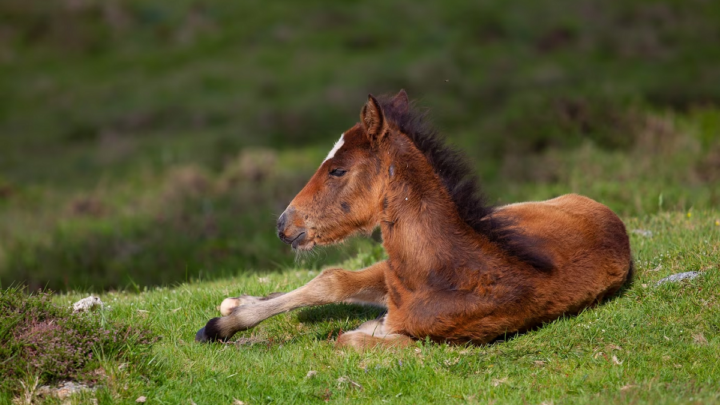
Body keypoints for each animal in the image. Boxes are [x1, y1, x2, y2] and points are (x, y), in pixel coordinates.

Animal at [195, 90, 632, 348]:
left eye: (337, 170)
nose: (284, 223)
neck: (457, 269)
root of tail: (607, 211)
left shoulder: (436, 336)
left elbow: (349, 337)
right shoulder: (392, 281)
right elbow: (332, 283)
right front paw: (225, 322)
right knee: (334, 279)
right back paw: (236, 304)